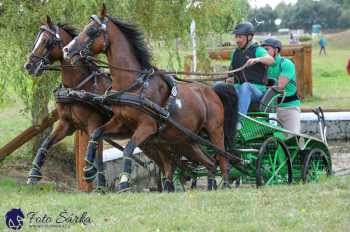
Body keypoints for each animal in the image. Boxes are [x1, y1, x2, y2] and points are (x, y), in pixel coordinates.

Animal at [63, 5, 238, 192]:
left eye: (92, 30)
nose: (66, 50)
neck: (135, 85)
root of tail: (212, 91)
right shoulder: (120, 122)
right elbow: (96, 133)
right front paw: (88, 170)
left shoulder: (147, 126)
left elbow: (128, 149)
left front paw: (124, 183)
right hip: (186, 140)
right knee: (210, 163)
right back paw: (210, 187)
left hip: (215, 131)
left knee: (223, 161)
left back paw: (225, 185)